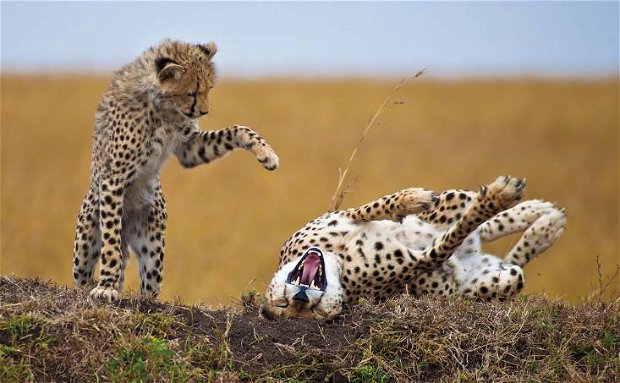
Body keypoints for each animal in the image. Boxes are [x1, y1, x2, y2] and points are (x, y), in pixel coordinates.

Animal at [72, 39, 278, 304]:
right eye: (191, 92)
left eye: (208, 88)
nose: (204, 111)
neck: (162, 106)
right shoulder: (113, 177)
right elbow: (110, 243)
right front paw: (106, 286)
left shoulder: (190, 148)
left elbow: (236, 129)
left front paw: (266, 153)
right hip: (86, 235)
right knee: (85, 273)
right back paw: (95, 285)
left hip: (153, 248)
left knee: (150, 284)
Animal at [262, 177, 568, 320]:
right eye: (285, 306)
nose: (300, 297)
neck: (338, 259)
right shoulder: (418, 261)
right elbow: (447, 242)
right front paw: (497, 197)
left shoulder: (346, 215)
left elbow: (377, 206)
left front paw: (411, 198)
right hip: (501, 279)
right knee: (505, 257)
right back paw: (541, 225)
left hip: (450, 201)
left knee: (475, 218)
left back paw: (539, 214)